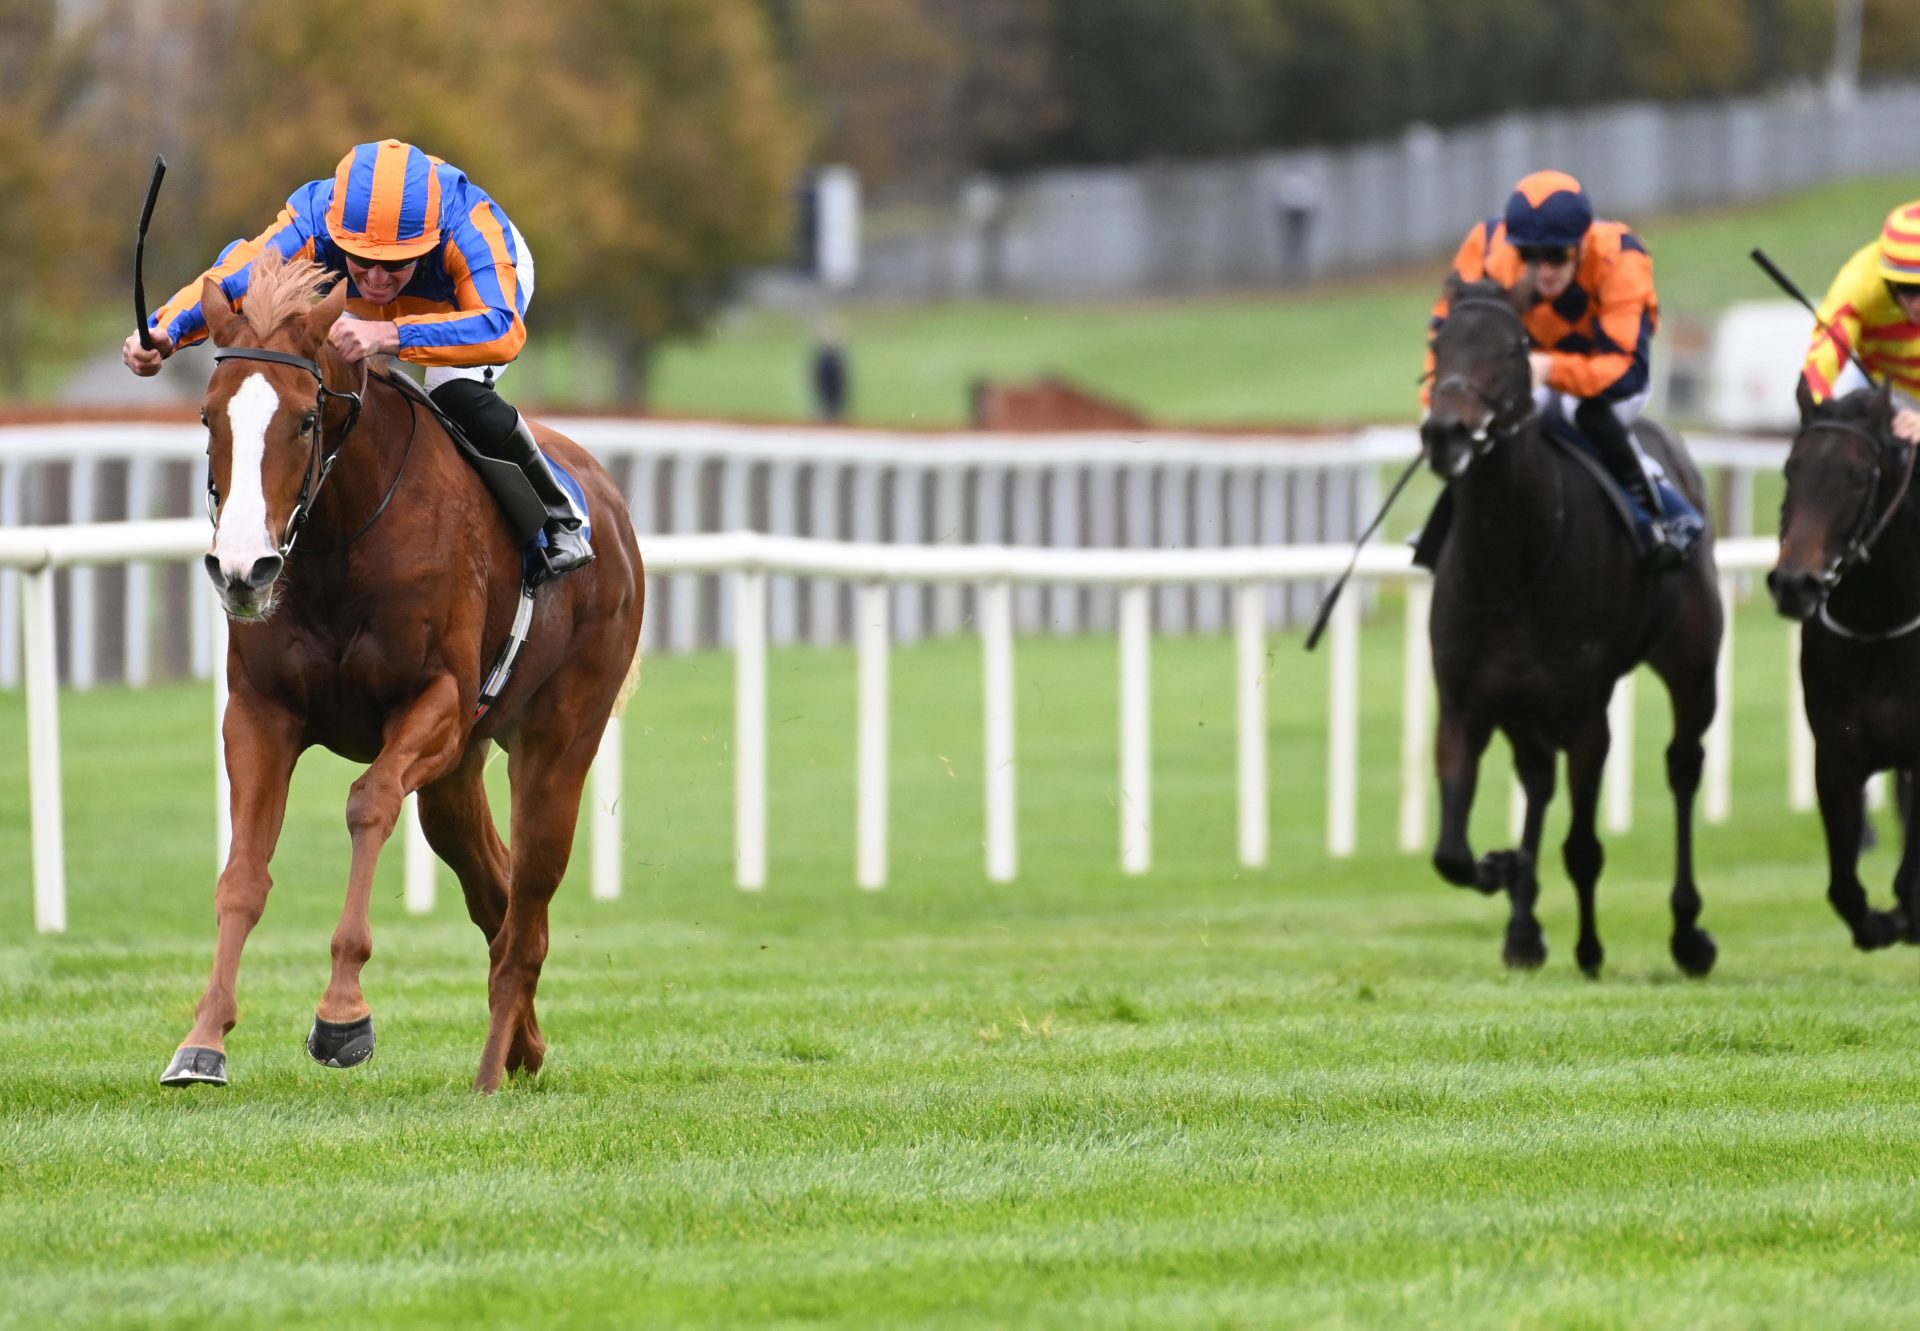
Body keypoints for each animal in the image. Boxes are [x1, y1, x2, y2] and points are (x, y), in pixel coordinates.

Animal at [165, 249, 645, 1090]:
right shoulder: (260, 710)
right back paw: (524, 1047)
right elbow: (244, 873)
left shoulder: (437, 702)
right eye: (208, 417)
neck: (339, 540)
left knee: (528, 903)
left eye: (305, 418)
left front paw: (342, 1014)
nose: (244, 570)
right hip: (456, 776)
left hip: (558, 741)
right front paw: (204, 1038)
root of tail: (609, 503)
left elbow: (367, 803)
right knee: (498, 895)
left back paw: (491, 1068)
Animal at [1428, 278, 1728, 975]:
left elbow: (1584, 846)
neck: (1511, 565)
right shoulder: (1464, 704)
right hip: (1523, 707)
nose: (1445, 433)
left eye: (1512, 348)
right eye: (1439, 341)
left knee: (1683, 765)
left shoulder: (1587, 712)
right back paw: (1522, 929)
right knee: (1537, 779)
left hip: (1692, 664)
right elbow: (1451, 853)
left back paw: (1688, 934)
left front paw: (1589, 948)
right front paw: (1503, 869)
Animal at [1766, 378, 1920, 948]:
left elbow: (1909, 883)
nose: (1795, 584)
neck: (1878, 627)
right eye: (1792, 467)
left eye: (1857, 477)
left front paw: (1899, 916)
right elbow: (1843, 887)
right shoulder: (1835, 755)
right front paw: (1878, 923)